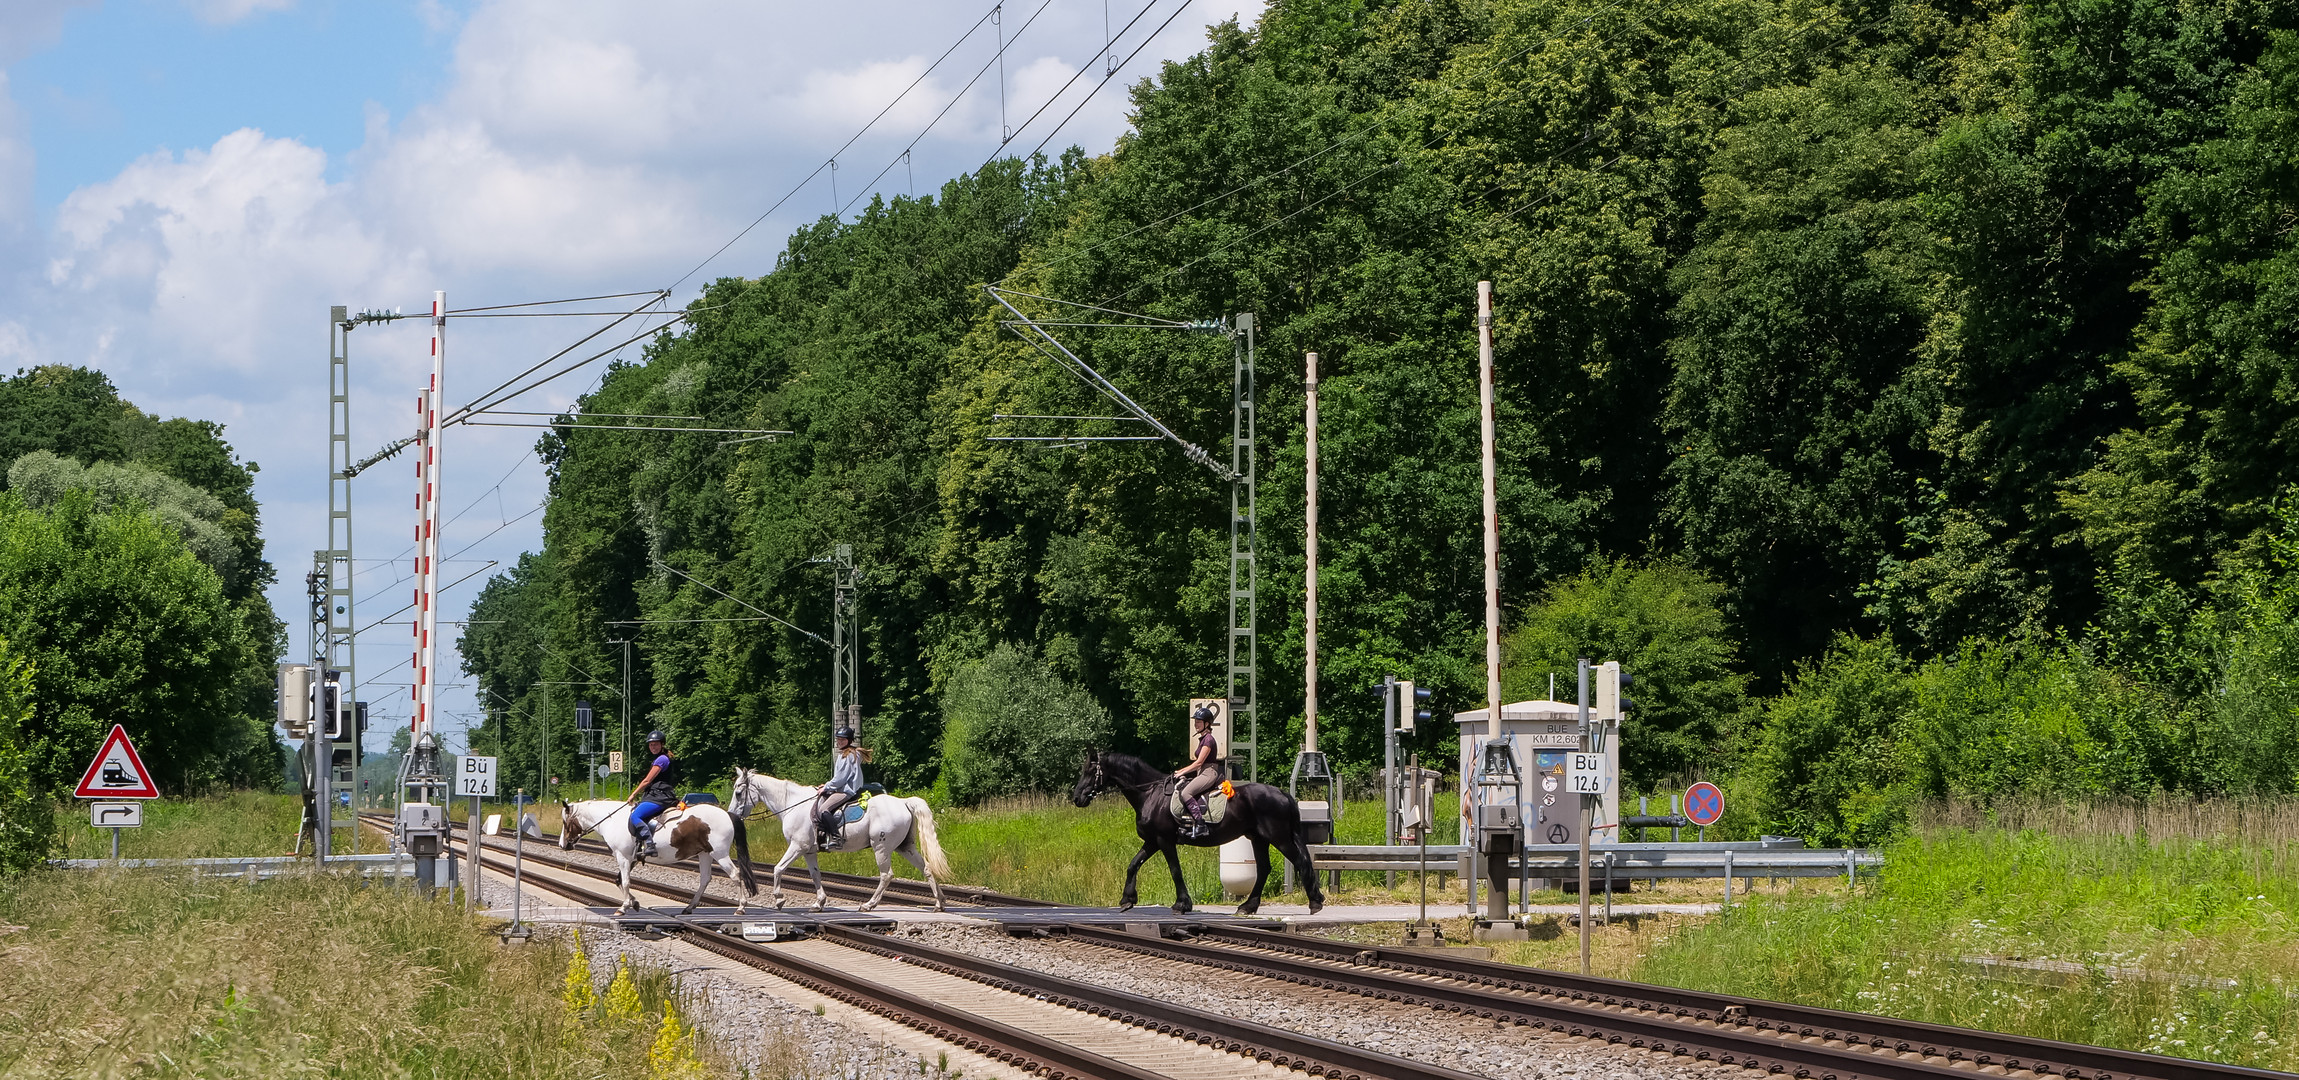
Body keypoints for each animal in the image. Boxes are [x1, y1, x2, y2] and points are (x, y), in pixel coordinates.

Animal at [554, 795, 754, 914]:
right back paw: (689, 907)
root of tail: (727, 814)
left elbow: (625, 882)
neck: (612, 820)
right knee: (705, 879)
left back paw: (741, 908)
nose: (562, 844)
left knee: (735, 874)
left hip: (719, 853)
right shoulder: (631, 858)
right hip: (705, 853)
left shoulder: (623, 857)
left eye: (565, 822)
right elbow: (619, 881)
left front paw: (623, 907)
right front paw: (634, 903)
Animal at [735, 767, 951, 909]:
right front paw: (819, 902)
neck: (792, 805)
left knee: (886, 875)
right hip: (905, 847)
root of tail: (904, 802)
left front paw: (779, 899)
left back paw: (869, 904)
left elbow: (778, 868)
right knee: (926, 868)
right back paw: (939, 902)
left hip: (881, 848)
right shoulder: (809, 851)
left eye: (738, 793)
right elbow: (815, 875)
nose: (733, 815)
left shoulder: (797, 846)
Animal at [1075, 753, 1333, 914]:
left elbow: (1175, 871)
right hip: (1258, 838)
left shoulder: (1164, 841)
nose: (1076, 797)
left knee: (1300, 861)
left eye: (1090, 770)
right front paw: (1127, 900)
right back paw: (1248, 907)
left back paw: (1314, 903)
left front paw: (1182, 904)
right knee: (1264, 869)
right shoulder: (1152, 841)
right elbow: (1133, 865)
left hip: (1278, 838)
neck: (1150, 794)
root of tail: (1283, 794)